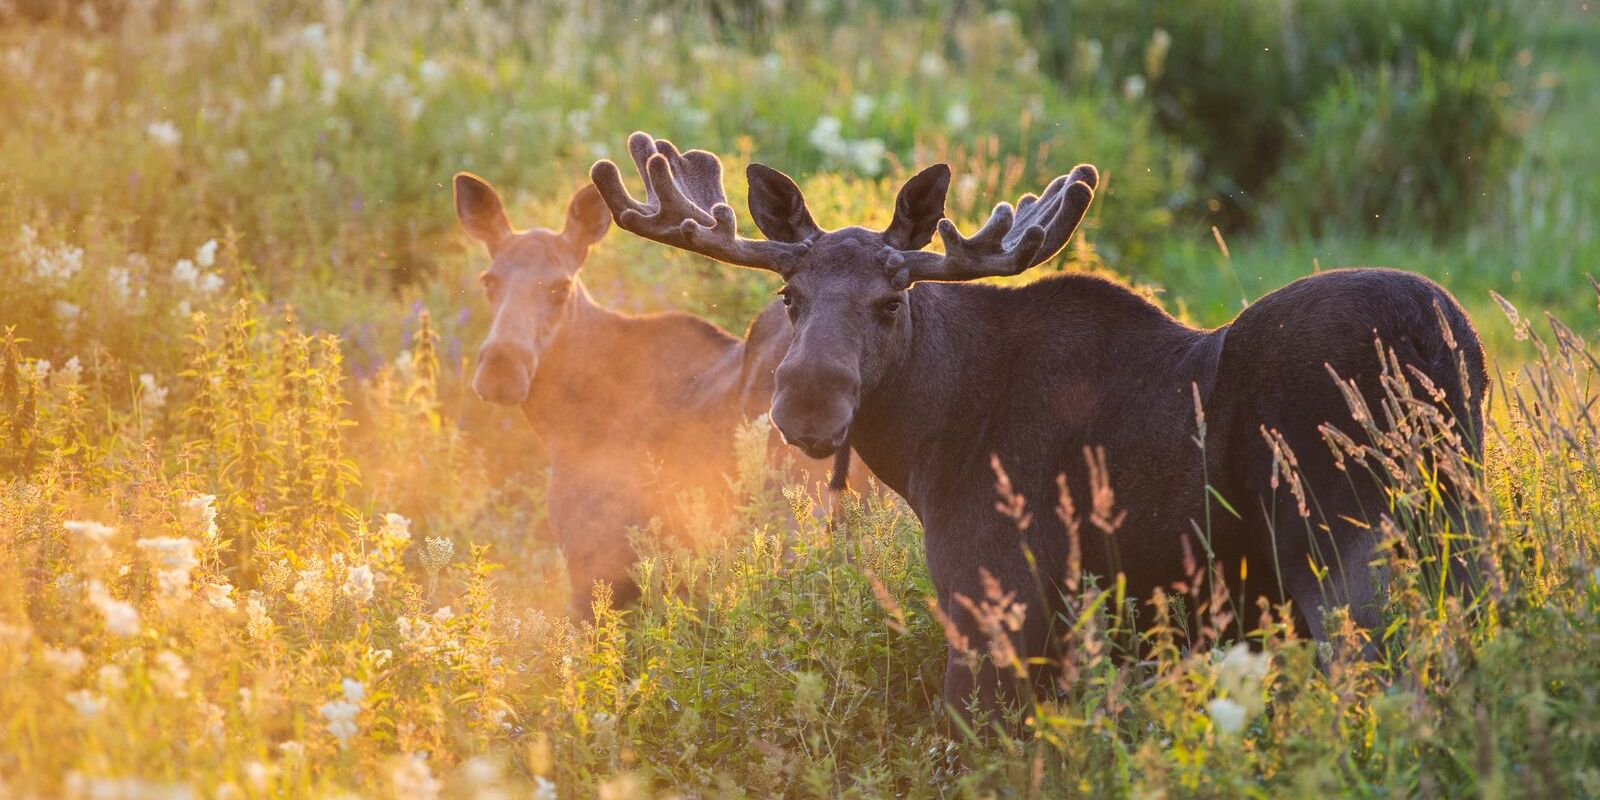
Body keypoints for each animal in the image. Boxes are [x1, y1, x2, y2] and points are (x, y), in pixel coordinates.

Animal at [591, 132, 1488, 723]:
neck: (928, 443)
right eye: (790, 295)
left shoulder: (996, 598)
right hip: (1461, 536)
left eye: (891, 300)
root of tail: (1438, 333)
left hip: (1348, 557)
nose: (808, 405)